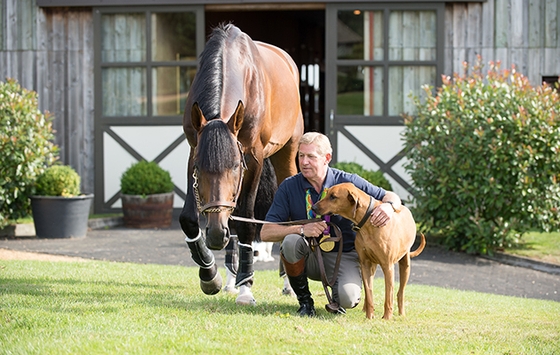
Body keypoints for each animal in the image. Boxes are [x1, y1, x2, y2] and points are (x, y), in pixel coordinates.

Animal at [178, 23, 302, 306]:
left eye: (236, 166)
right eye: (199, 168)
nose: (214, 235)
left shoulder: (253, 158)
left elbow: (246, 221)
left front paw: (246, 288)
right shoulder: (193, 149)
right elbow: (189, 219)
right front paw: (210, 275)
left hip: (286, 152)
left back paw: (287, 283)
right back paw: (229, 279)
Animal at [312, 184, 426, 320]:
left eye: (333, 196)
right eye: (327, 193)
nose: (313, 207)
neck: (367, 221)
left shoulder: (388, 266)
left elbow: (388, 295)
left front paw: (387, 317)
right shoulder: (365, 264)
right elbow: (369, 291)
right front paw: (369, 316)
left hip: (405, 264)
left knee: (400, 292)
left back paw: (401, 313)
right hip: (372, 266)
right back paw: (365, 309)